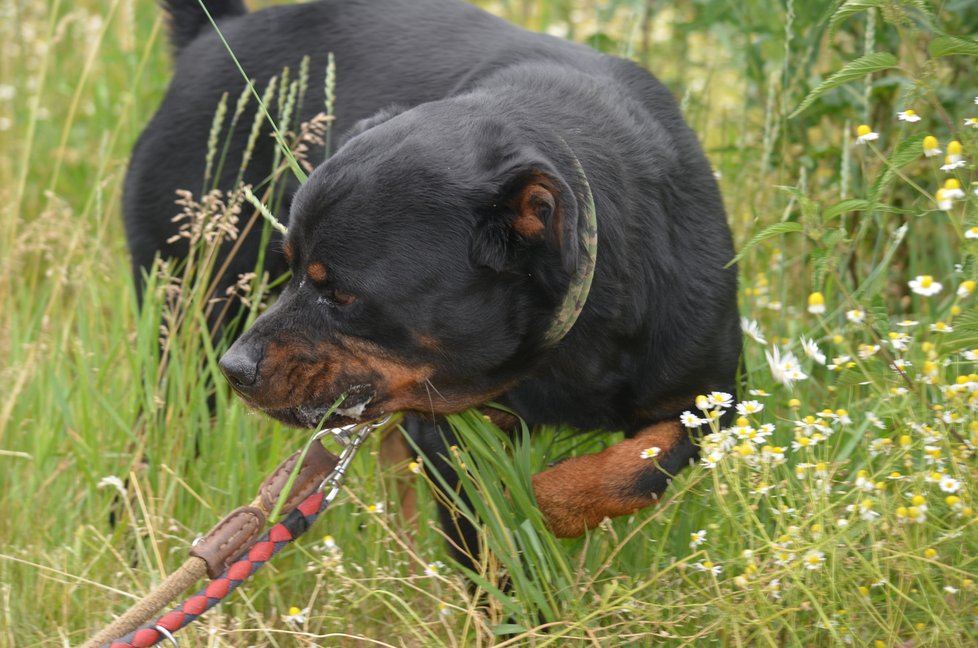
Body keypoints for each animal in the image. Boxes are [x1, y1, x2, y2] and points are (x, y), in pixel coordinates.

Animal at [126, 1, 740, 560]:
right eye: (295, 266)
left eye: (341, 296)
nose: (237, 368)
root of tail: (218, 31)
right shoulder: (451, 434)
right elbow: (485, 536)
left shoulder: (708, 398)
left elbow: (638, 470)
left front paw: (548, 504)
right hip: (188, 318)